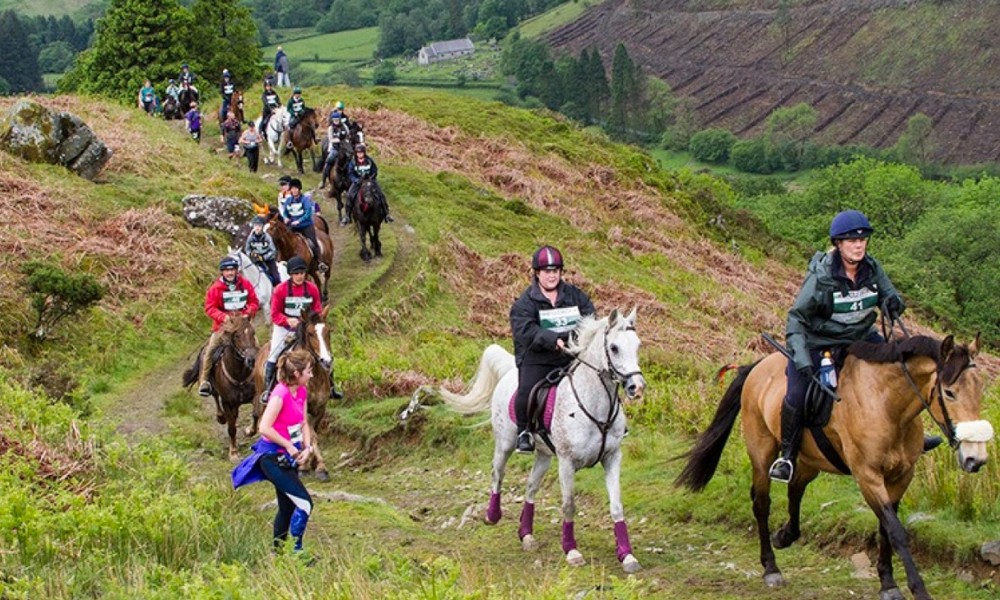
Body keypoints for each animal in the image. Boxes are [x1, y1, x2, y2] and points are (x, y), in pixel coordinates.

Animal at [182, 314, 258, 460]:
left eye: (253, 333)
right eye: (237, 336)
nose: (252, 359)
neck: (239, 375)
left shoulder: (255, 396)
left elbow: (256, 415)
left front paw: (249, 431)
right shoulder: (227, 402)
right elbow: (231, 428)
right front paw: (233, 452)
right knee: (216, 398)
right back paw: (220, 417)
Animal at [250, 310, 336, 482]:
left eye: (328, 331)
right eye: (310, 333)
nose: (326, 361)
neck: (313, 376)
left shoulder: (320, 408)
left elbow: (312, 434)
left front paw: (315, 464)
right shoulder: (303, 410)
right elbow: (311, 435)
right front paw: (309, 467)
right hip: (264, 398)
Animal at [438, 310, 648, 572]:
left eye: (637, 345)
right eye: (614, 348)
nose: (636, 387)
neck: (595, 407)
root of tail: (510, 371)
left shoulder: (612, 458)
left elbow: (617, 506)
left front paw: (627, 555)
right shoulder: (567, 463)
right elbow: (569, 506)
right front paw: (571, 551)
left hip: (545, 455)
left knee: (530, 486)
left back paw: (526, 534)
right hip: (505, 444)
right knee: (497, 474)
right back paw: (492, 515)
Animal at [672, 332, 992, 600]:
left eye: (980, 389)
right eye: (949, 393)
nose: (975, 459)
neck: (886, 405)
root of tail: (757, 366)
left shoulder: (901, 477)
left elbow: (886, 528)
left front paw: (888, 583)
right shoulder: (868, 476)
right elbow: (897, 531)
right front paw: (917, 589)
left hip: (809, 461)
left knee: (795, 489)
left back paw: (786, 535)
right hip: (761, 451)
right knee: (762, 502)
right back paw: (771, 567)